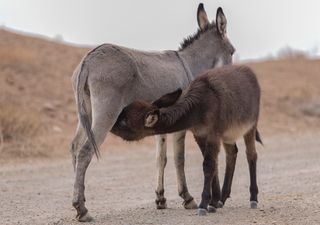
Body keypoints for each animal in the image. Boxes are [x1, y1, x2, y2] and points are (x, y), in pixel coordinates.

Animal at [112, 64, 262, 214]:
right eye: (122, 112)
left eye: (124, 121)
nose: (111, 125)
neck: (199, 105)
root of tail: (247, 70)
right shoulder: (200, 135)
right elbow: (212, 164)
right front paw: (213, 202)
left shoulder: (213, 134)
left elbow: (208, 165)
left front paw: (203, 204)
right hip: (228, 134)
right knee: (231, 154)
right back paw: (222, 199)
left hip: (250, 126)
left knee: (251, 155)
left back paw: (253, 198)